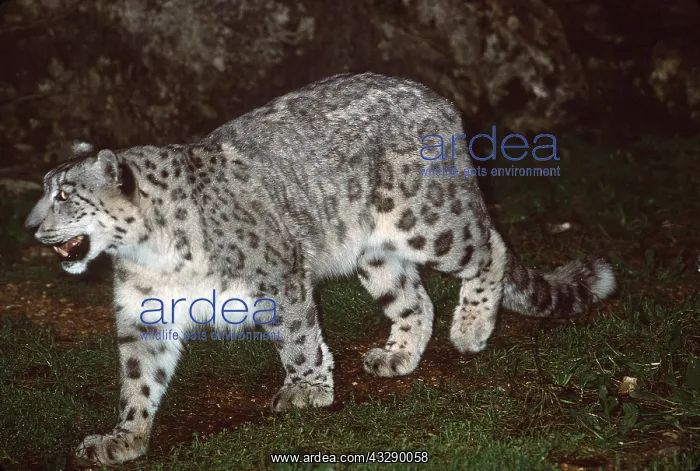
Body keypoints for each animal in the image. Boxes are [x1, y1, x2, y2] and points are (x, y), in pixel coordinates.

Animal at [24, 72, 616, 465]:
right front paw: (124, 437)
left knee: (490, 246)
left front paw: (307, 389)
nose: (30, 227)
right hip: (374, 252)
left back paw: (470, 330)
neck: (149, 254)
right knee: (415, 298)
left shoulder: (277, 274)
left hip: (430, 223)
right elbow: (138, 377)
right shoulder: (144, 313)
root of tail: (439, 101)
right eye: (47, 190)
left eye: (65, 195)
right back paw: (397, 356)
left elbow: (297, 334)